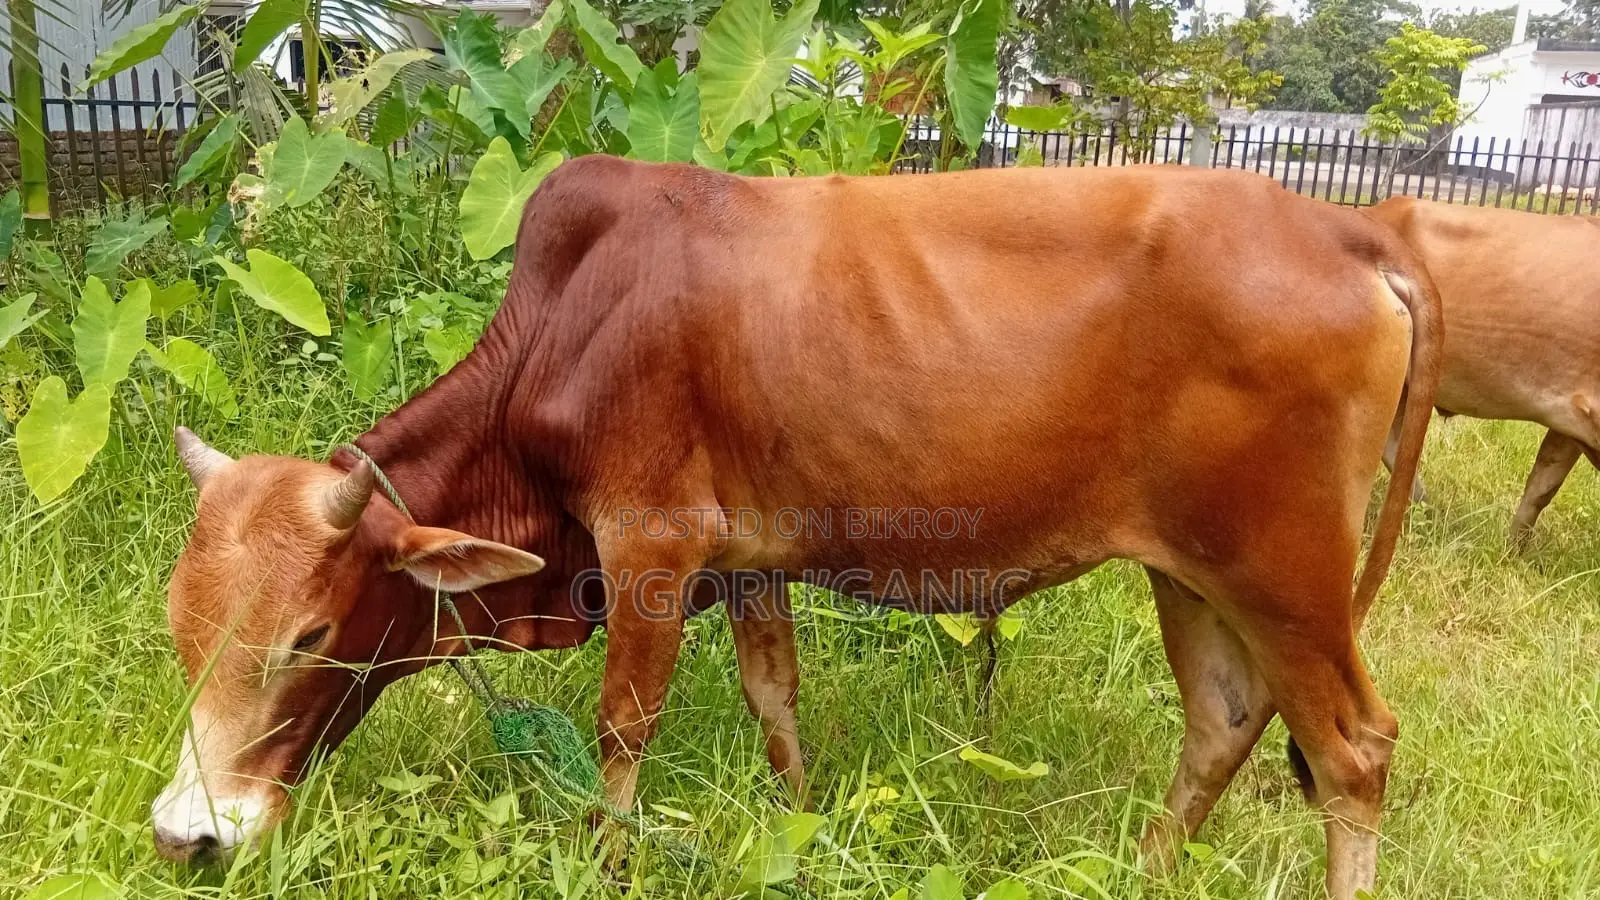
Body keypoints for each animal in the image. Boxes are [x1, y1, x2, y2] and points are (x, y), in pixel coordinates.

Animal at [152, 157, 1439, 900]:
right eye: (180, 636)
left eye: (312, 636)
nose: (186, 839)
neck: (565, 329)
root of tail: (1350, 235)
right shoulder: (747, 569)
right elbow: (777, 704)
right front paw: (801, 829)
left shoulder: (650, 547)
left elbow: (623, 731)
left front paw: (607, 865)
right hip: (1193, 572)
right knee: (1222, 722)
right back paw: (1140, 871)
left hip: (1283, 574)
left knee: (1352, 750)